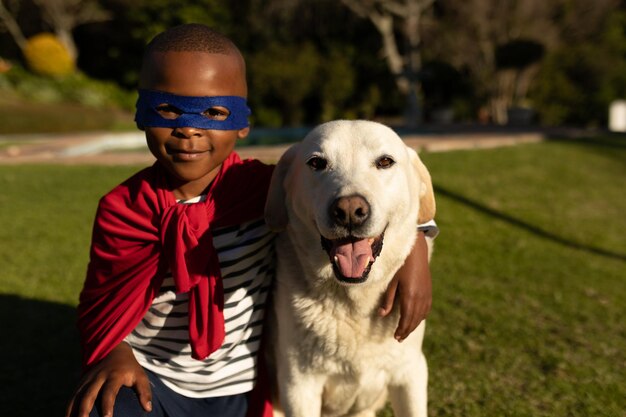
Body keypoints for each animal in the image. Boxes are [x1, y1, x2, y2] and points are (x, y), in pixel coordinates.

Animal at [264, 119, 434, 416]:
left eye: (385, 161)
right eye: (317, 163)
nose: (349, 211)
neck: (355, 305)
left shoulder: (410, 373)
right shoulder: (298, 386)